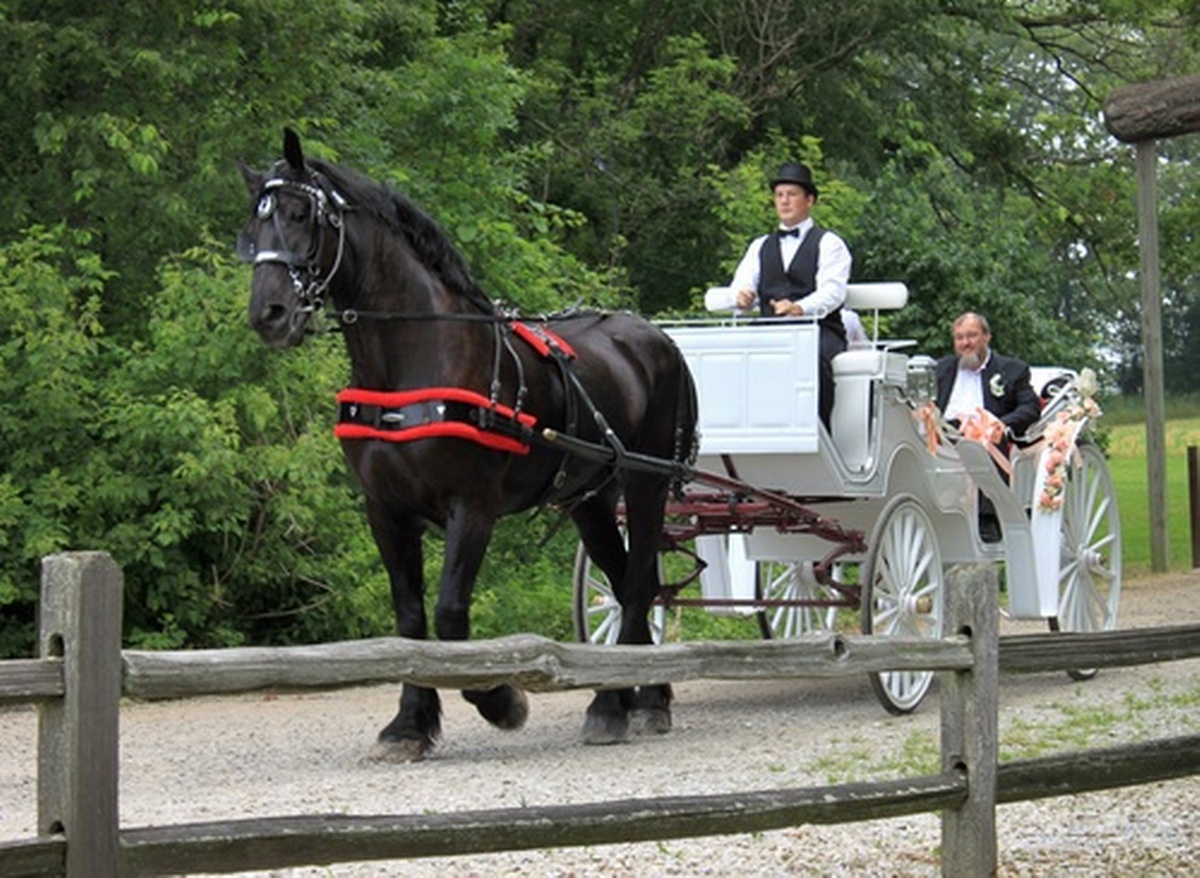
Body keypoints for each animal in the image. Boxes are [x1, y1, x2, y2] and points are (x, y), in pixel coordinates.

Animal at [238, 130, 700, 762]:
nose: (270, 313)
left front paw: (500, 699)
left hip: (646, 481)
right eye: (252, 223)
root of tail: (658, 337)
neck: (414, 359)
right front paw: (408, 725)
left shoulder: (472, 506)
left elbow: (450, 615)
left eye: (301, 213)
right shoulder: (385, 510)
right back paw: (646, 696)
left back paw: (611, 705)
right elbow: (410, 620)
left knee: (634, 586)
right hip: (591, 498)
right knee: (635, 577)